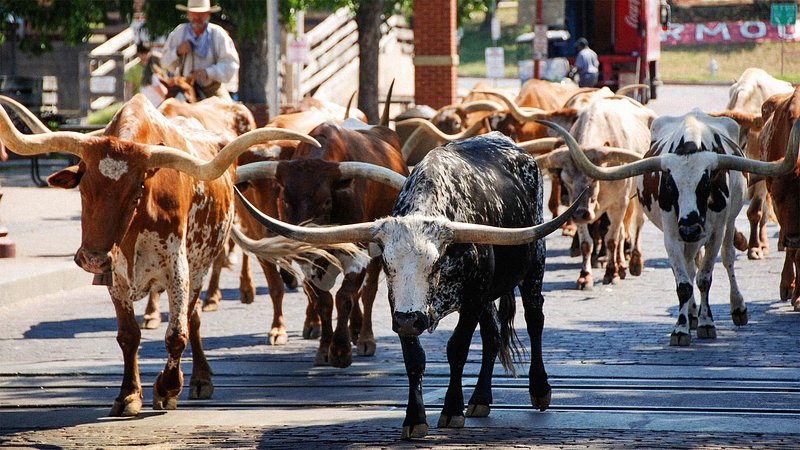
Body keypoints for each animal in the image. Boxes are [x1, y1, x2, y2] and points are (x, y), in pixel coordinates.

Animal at [0, 94, 318, 414]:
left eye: (135, 194)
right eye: (84, 189)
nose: (92, 258)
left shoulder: (177, 268)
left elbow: (177, 334)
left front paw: (167, 387)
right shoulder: (116, 276)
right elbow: (129, 335)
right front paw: (129, 394)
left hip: (199, 265)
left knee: (192, 317)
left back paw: (200, 379)